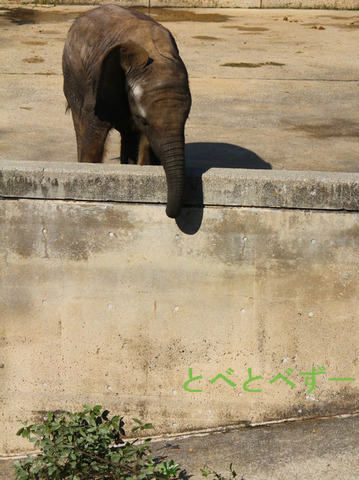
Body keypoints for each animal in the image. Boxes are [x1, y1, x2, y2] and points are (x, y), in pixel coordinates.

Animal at [62, 3, 191, 218]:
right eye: (143, 118)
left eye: (186, 119)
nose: (168, 211)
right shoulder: (97, 88)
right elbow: (93, 141)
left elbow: (145, 145)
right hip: (72, 78)